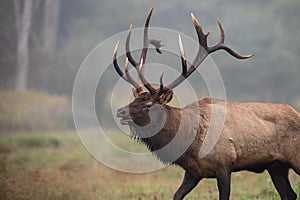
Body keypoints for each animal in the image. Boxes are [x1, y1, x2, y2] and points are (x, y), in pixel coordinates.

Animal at [112, 7, 300, 200]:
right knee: (289, 194)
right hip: (276, 165)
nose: (120, 111)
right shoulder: (194, 172)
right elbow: (176, 195)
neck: (189, 144)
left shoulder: (224, 164)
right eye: (134, 99)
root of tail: (296, 113)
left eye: (149, 104)